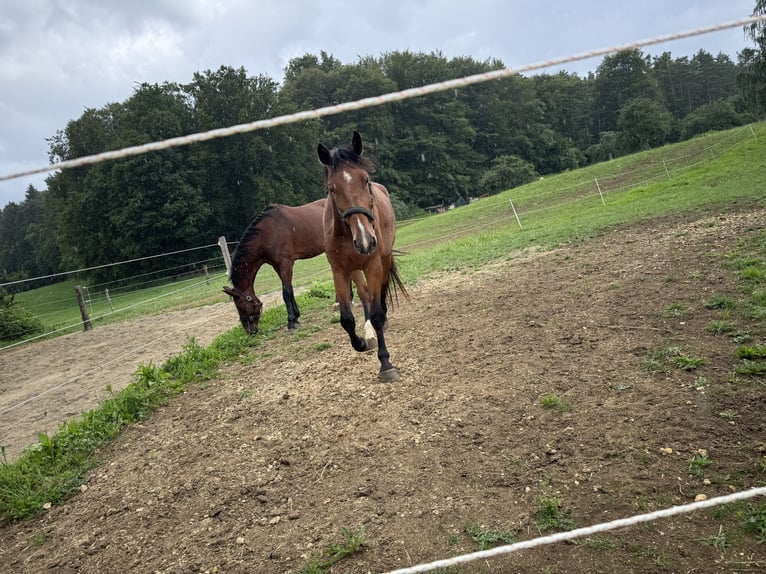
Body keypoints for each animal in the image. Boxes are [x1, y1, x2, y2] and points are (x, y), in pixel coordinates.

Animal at [225, 201, 328, 338]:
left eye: (241, 307)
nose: (250, 331)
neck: (266, 234)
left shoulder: (285, 264)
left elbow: (286, 293)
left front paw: (291, 322)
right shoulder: (277, 266)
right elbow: (290, 290)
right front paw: (296, 317)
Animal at [316, 130, 408, 382]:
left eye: (365, 180)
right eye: (332, 189)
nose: (366, 240)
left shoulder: (373, 265)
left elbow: (376, 313)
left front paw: (385, 364)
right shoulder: (339, 270)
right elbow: (347, 318)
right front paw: (360, 342)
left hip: (383, 262)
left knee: (379, 295)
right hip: (355, 269)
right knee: (365, 294)